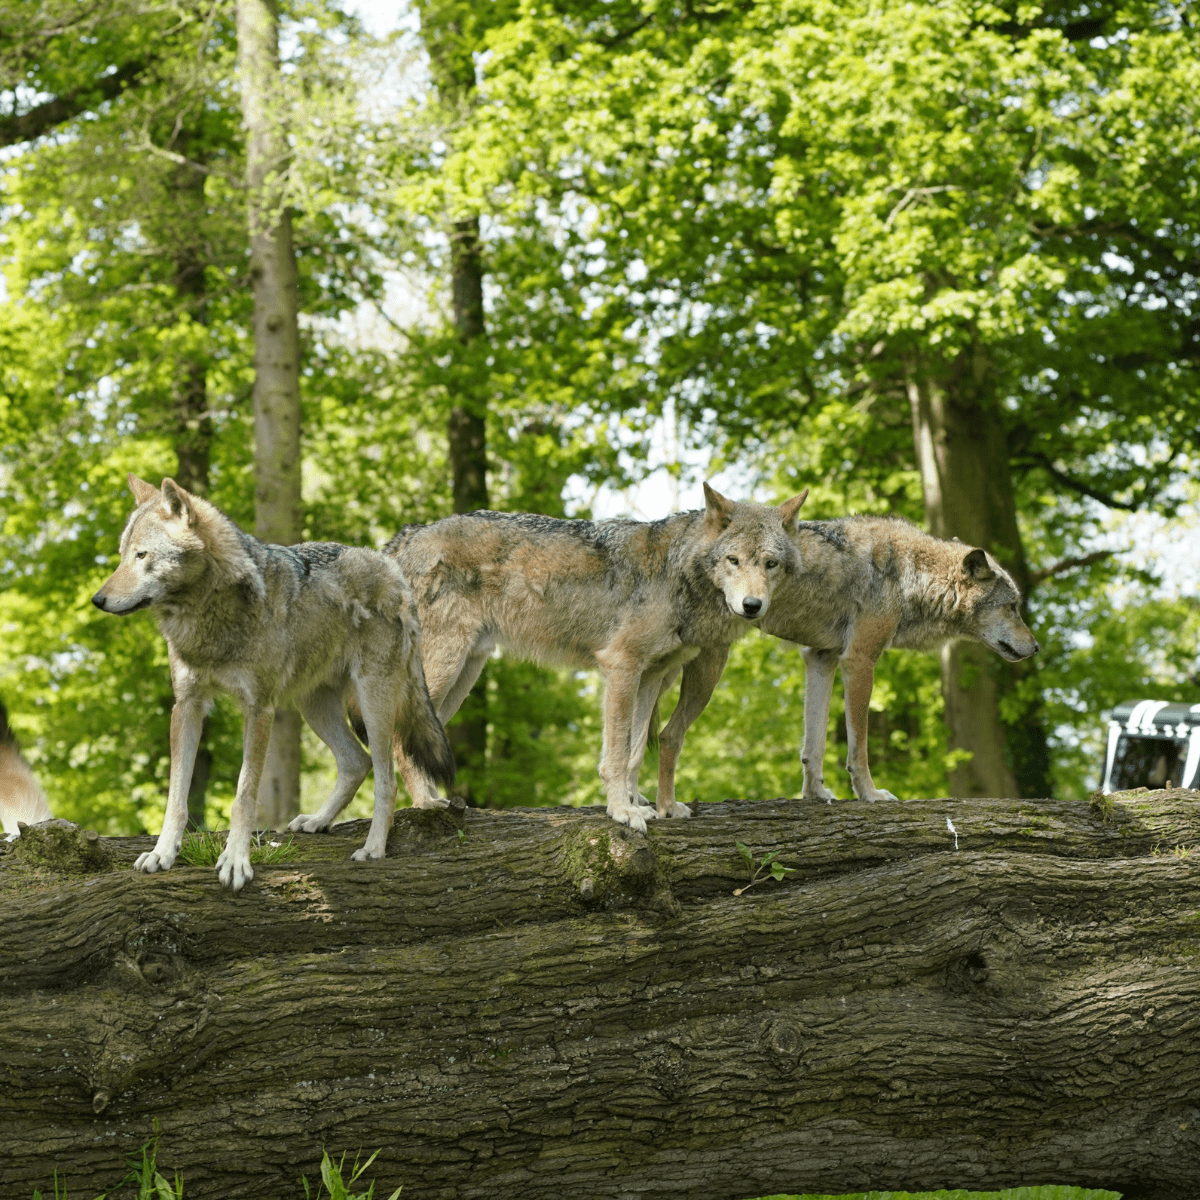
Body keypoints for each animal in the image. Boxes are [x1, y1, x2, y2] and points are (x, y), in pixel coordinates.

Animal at [92, 475, 454, 890]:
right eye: (122, 555)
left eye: (142, 555)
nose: (97, 599)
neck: (206, 617)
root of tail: (393, 569)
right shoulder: (187, 705)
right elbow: (176, 797)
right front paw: (162, 853)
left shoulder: (259, 708)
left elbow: (244, 795)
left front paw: (235, 860)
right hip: (313, 706)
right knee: (355, 762)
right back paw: (317, 821)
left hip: (372, 704)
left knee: (386, 777)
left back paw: (373, 847)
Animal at [377, 483, 807, 833]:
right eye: (734, 560)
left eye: (770, 564)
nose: (752, 606)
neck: (676, 573)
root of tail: (406, 536)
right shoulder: (620, 666)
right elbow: (616, 754)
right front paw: (622, 811)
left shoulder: (650, 677)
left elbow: (635, 752)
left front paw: (642, 804)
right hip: (445, 670)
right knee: (397, 739)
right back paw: (425, 804)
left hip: (462, 677)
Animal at [653, 515, 1040, 810]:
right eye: (1013, 607)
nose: (1036, 647)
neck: (909, 575)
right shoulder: (859, 661)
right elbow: (859, 748)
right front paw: (870, 795)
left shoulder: (820, 658)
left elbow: (814, 745)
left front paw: (815, 794)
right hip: (701, 670)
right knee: (665, 735)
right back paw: (663, 809)